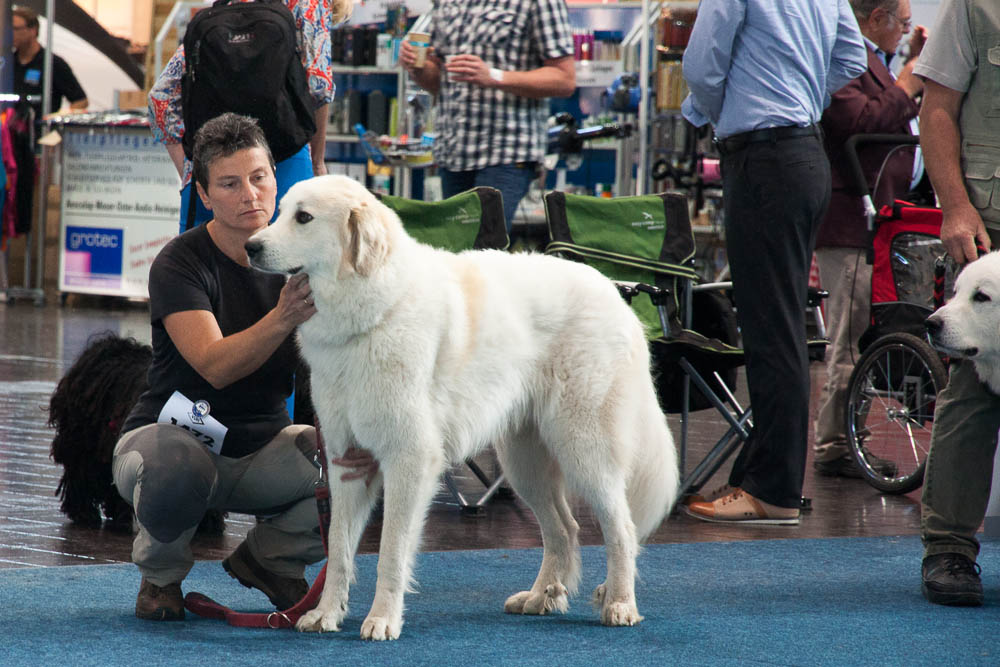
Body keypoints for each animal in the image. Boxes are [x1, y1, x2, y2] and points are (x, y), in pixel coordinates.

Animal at [244, 175, 680, 640]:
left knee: (622, 529)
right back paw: (541, 597)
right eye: (279, 211)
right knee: (565, 529)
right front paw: (326, 614)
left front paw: (382, 619)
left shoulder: (410, 459)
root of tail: (615, 293)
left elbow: (390, 553)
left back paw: (619, 603)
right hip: (524, 462)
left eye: (304, 218)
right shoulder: (346, 463)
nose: (250, 246)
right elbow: (339, 552)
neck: (375, 307)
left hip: (585, 450)